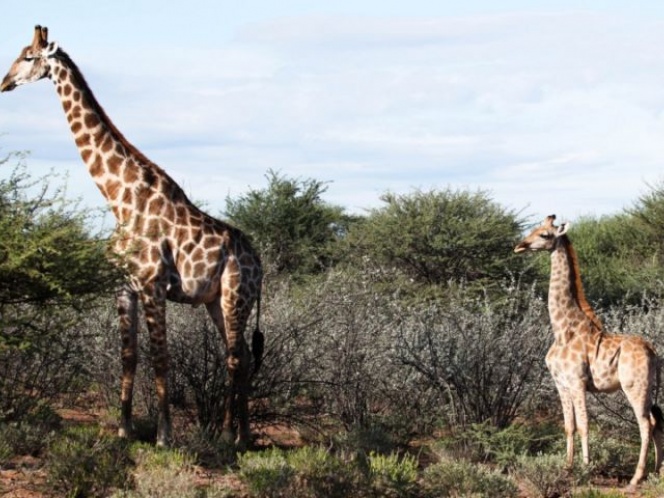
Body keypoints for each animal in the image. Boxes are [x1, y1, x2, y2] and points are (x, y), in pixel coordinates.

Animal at [2, 24, 268, 448]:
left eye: (28, 56)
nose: (5, 83)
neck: (119, 198)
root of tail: (259, 263)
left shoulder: (152, 284)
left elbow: (160, 357)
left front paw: (163, 435)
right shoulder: (123, 286)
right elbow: (129, 356)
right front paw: (124, 429)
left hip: (235, 295)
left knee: (234, 356)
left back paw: (228, 434)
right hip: (215, 300)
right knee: (242, 354)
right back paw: (244, 436)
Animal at [516, 214, 660, 486]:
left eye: (544, 234)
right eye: (534, 228)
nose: (519, 246)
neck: (563, 329)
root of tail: (653, 351)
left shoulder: (577, 382)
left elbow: (583, 424)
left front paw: (585, 468)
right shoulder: (561, 384)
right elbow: (568, 426)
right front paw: (567, 467)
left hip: (635, 386)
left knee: (646, 424)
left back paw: (636, 478)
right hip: (650, 388)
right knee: (658, 421)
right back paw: (658, 471)